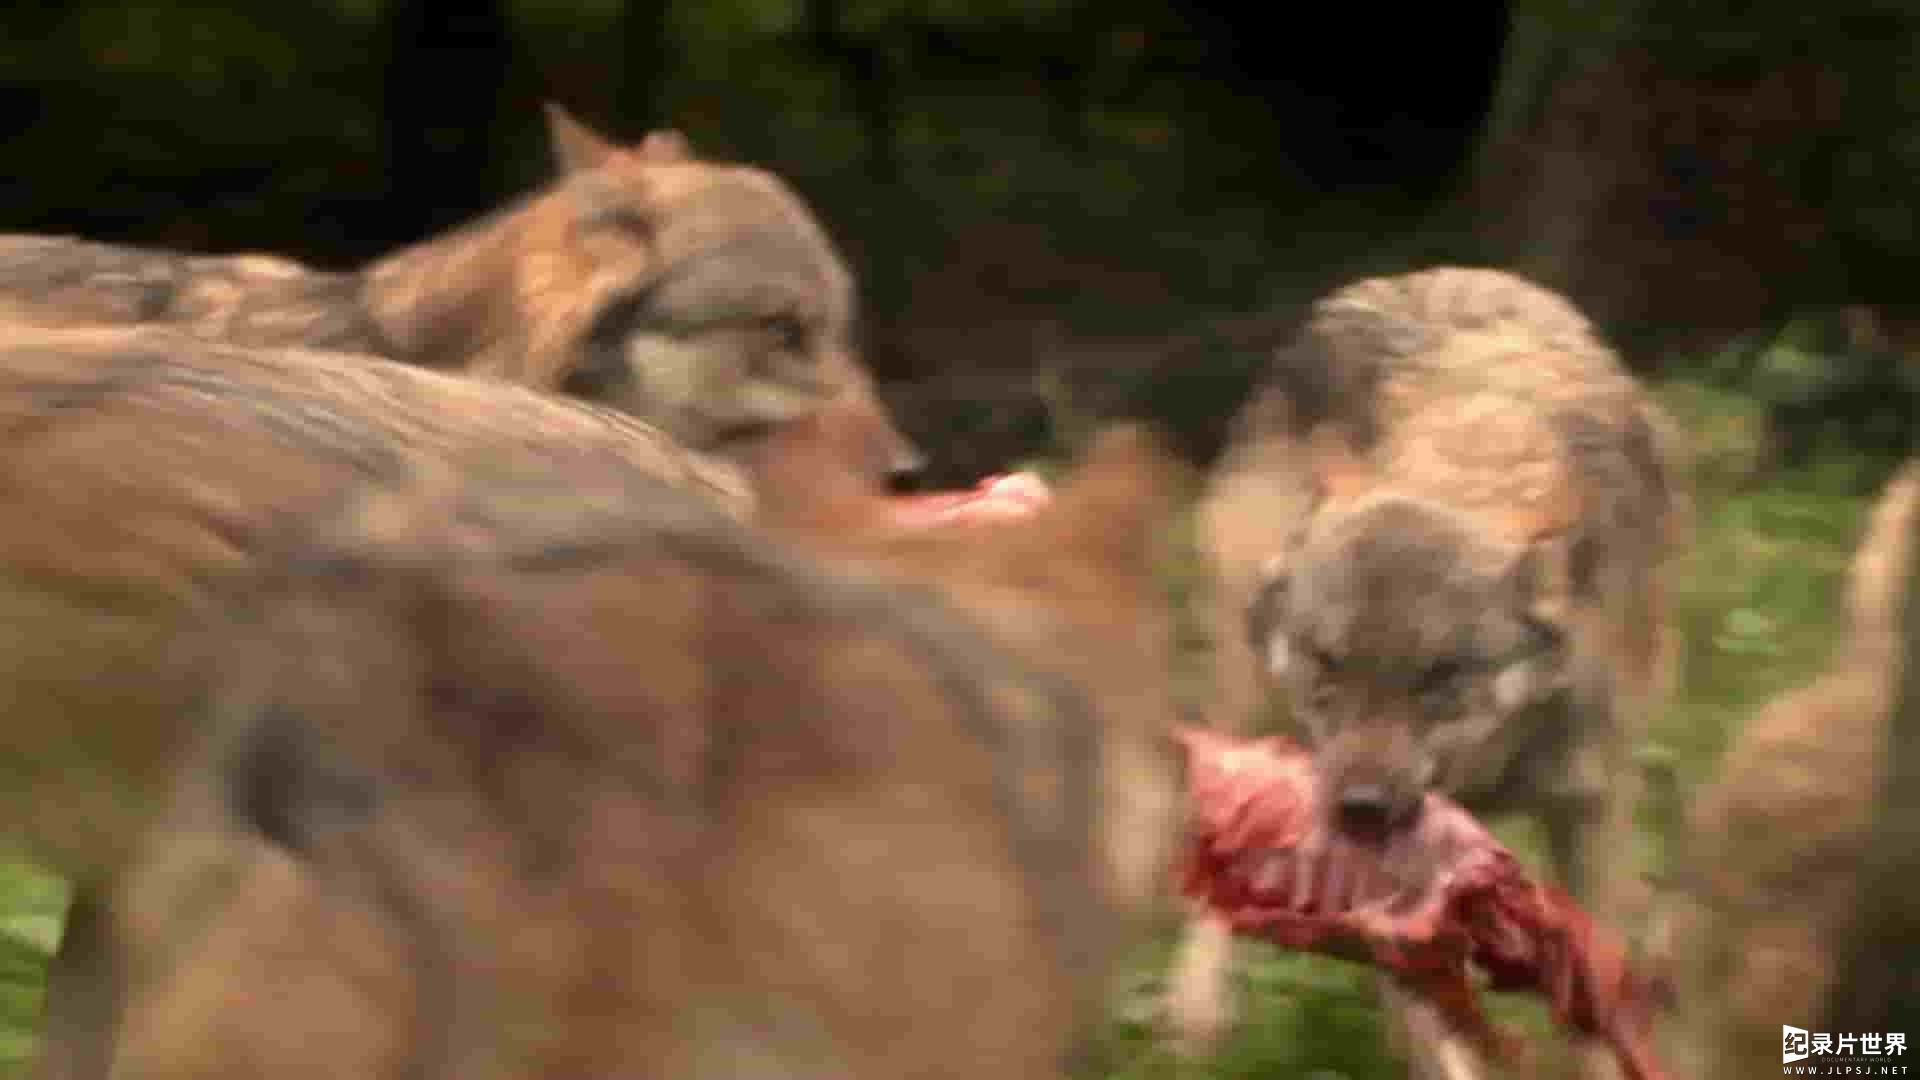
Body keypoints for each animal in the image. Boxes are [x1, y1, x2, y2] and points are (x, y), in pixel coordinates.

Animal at [1165, 267, 1693, 1077]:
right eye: (1328, 661)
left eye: (1440, 677)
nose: (1359, 808)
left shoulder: (1592, 811)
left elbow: (1595, 1004)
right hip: (1247, 711)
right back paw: (1195, 1022)